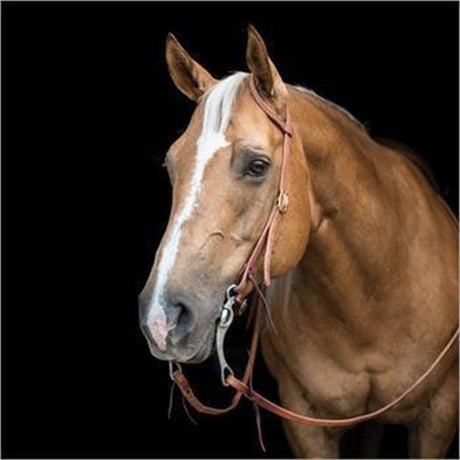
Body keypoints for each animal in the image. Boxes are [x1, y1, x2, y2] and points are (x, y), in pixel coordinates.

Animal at [138, 27, 458, 458]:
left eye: (257, 165)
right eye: (171, 165)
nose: (161, 318)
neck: (374, 299)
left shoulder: (438, 418)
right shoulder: (305, 423)